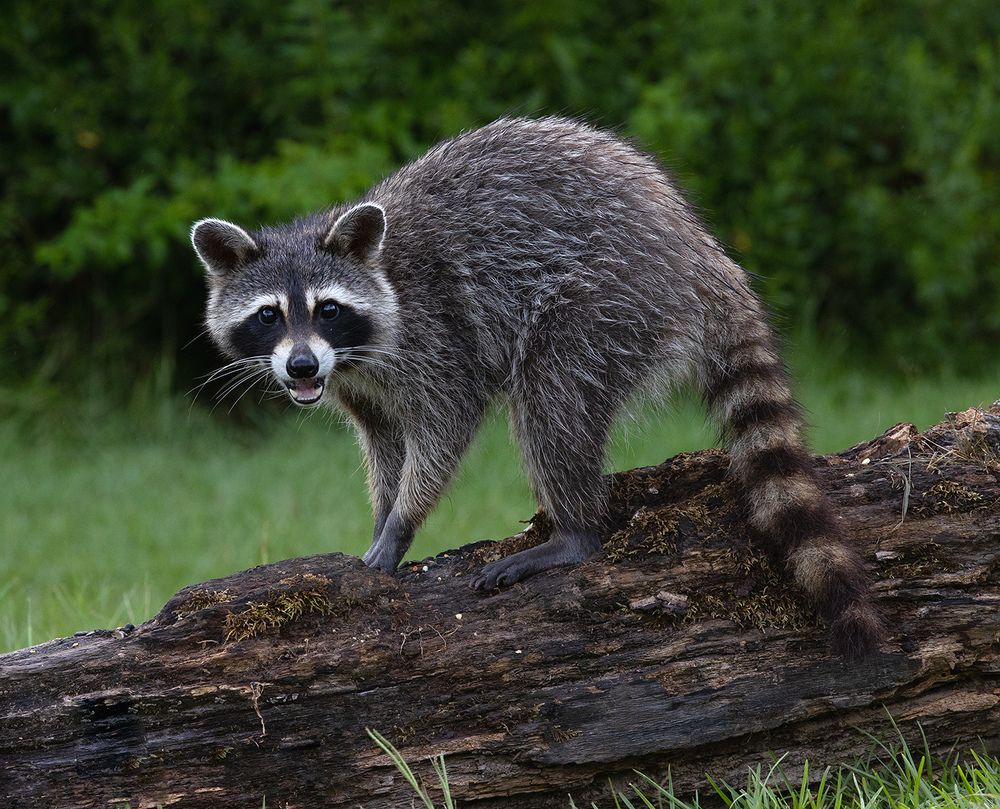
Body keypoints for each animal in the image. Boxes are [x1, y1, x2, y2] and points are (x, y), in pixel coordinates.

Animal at [192, 117, 882, 656]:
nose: (302, 369)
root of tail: (701, 253)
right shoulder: (360, 386)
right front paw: (384, 516)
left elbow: (445, 424)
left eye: (328, 309)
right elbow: (384, 441)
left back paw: (573, 532)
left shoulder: (437, 333)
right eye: (269, 316)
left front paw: (403, 521)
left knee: (553, 401)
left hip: (607, 300)